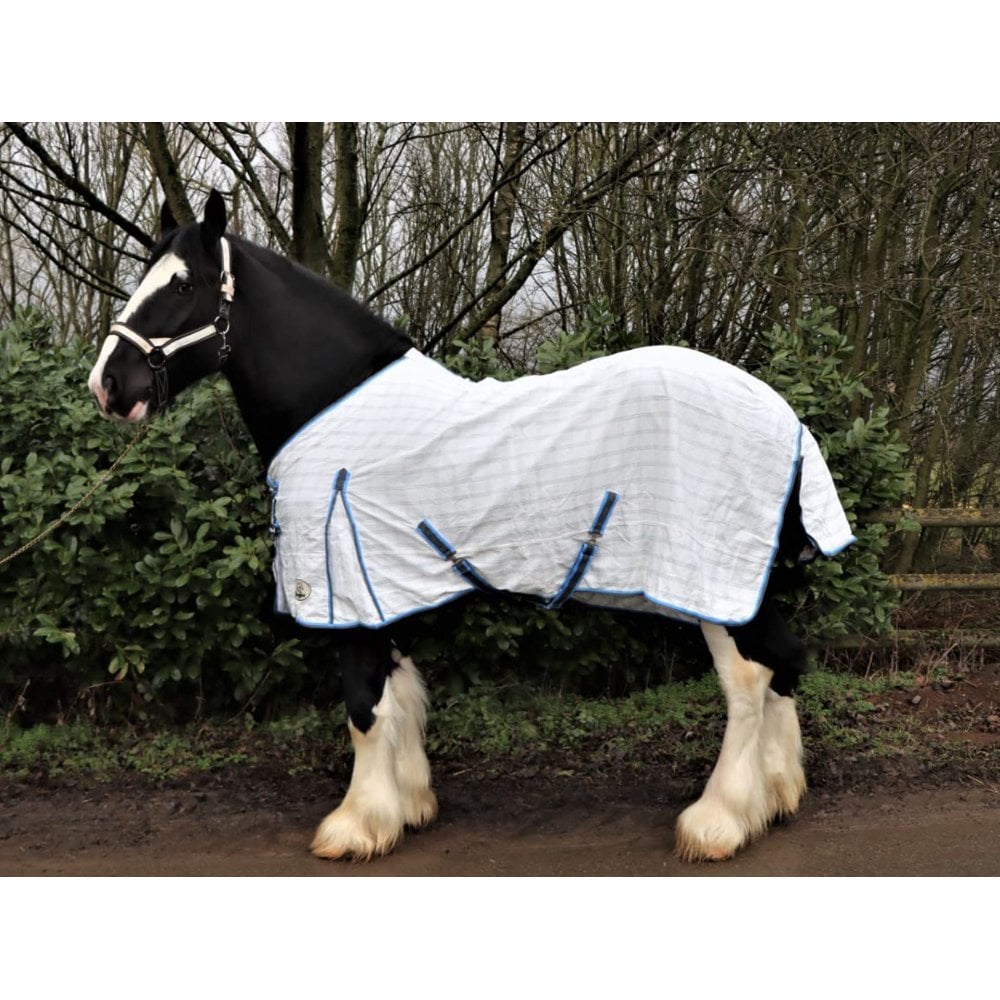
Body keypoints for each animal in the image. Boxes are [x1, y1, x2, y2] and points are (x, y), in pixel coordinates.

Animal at [88, 189, 855, 863]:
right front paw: (407, 807)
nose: (109, 385)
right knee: (785, 663)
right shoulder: (382, 589)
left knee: (749, 681)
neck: (335, 405)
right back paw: (776, 797)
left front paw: (355, 826)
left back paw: (719, 822)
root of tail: (786, 419)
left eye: (182, 284)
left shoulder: (348, 595)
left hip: (712, 582)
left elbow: (363, 709)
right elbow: (398, 697)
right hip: (749, 584)